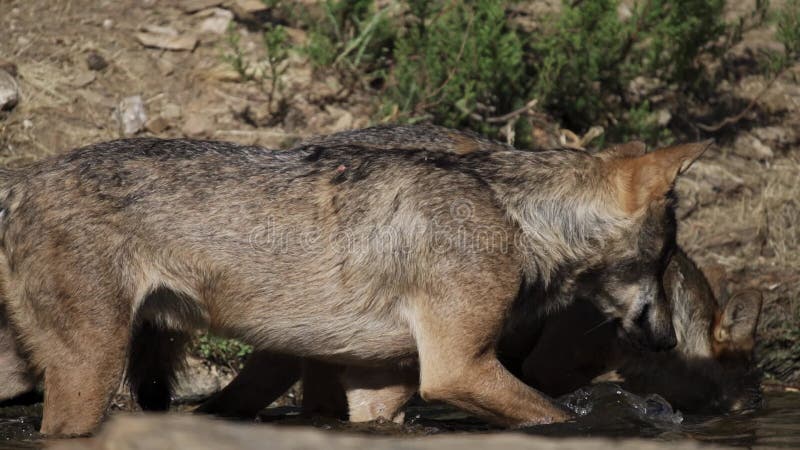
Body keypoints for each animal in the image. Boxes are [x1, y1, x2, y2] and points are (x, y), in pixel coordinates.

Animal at [0, 135, 708, 434]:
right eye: (668, 254)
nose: (671, 343)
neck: (513, 215)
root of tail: (23, 179)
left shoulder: (380, 389)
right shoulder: (459, 370)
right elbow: (554, 416)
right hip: (93, 370)